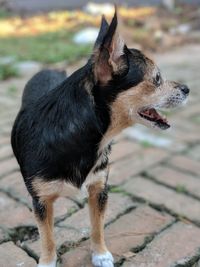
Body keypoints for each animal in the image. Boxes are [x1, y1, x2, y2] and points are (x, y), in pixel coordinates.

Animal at [11, 9, 190, 267]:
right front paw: (47, 261)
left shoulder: (99, 190)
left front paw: (100, 253)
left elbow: (97, 225)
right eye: (157, 79)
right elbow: (47, 238)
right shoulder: (41, 202)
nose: (187, 89)